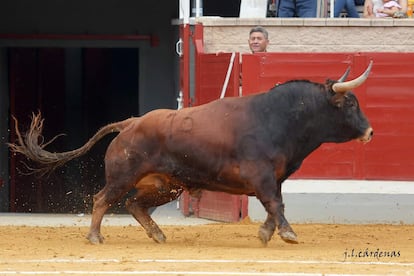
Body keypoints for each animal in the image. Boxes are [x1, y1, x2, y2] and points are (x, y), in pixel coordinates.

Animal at [8, 61, 376, 246]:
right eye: (350, 104)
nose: (370, 132)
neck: (283, 117)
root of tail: (131, 122)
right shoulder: (261, 175)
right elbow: (275, 204)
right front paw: (287, 234)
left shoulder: (275, 178)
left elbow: (276, 205)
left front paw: (267, 233)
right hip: (123, 176)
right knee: (102, 199)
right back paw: (95, 237)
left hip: (165, 184)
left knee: (134, 204)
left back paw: (158, 234)